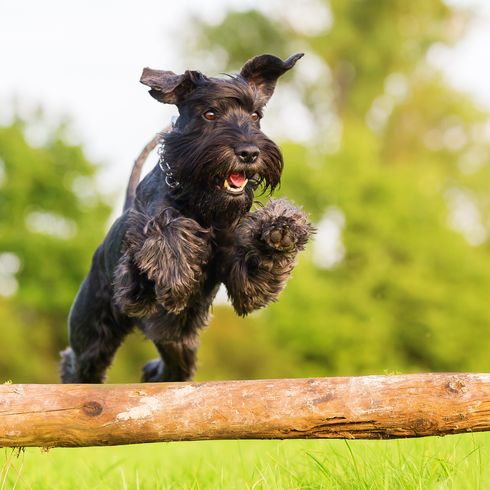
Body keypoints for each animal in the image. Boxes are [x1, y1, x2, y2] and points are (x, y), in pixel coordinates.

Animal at [60, 53, 314, 382]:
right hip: (92, 335)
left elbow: (257, 273)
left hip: (178, 346)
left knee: (167, 370)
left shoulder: (245, 280)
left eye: (256, 115)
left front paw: (281, 228)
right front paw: (179, 267)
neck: (204, 206)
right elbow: (164, 229)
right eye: (209, 113)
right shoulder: (132, 282)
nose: (249, 152)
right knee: (77, 362)